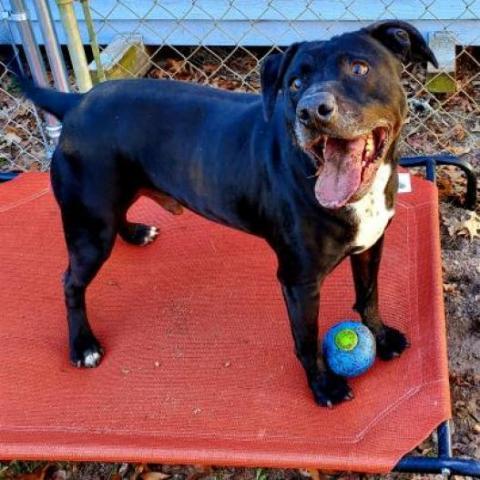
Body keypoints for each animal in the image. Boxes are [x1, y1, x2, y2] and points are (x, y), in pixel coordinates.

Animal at [21, 20, 436, 406]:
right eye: (295, 83)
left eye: (359, 68)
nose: (312, 111)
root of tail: (76, 103)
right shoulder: (298, 281)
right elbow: (307, 338)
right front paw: (322, 385)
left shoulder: (371, 245)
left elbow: (369, 296)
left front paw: (380, 337)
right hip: (90, 227)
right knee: (71, 283)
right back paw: (83, 345)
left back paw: (136, 233)